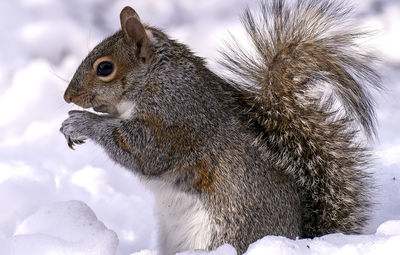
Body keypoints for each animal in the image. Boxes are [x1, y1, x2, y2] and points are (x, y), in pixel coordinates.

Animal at [60, 0, 382, 254]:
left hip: (227, 234)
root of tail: (300, 239)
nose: (67, 97)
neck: (156, 79)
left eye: (104, 68)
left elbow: (142, 149)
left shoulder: (176, 117)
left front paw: (81, 122)